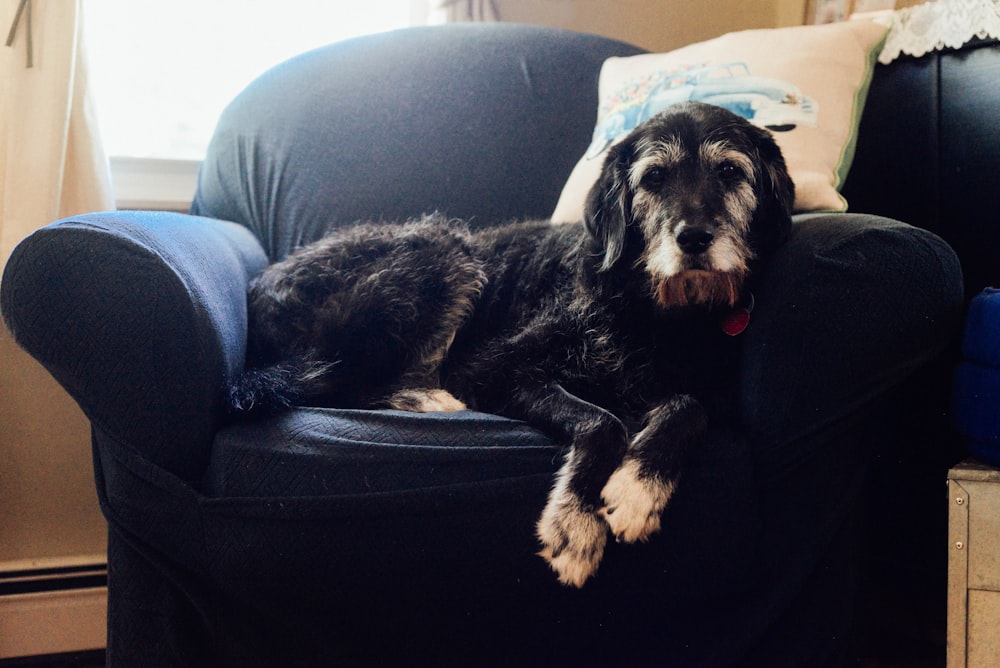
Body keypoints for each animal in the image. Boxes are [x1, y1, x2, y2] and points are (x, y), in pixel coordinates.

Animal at [230, 102, 792, 588]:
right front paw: (576, 524)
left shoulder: (663, 387)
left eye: (730, 172)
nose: (693, 238)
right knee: (334, 380)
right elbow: (602, 422)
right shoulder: (494, 370)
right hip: (443, 252)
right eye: (654, 177)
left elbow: (688, 406)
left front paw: (640, 486)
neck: (652, 309)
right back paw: (425, 397)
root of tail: (261, 287)